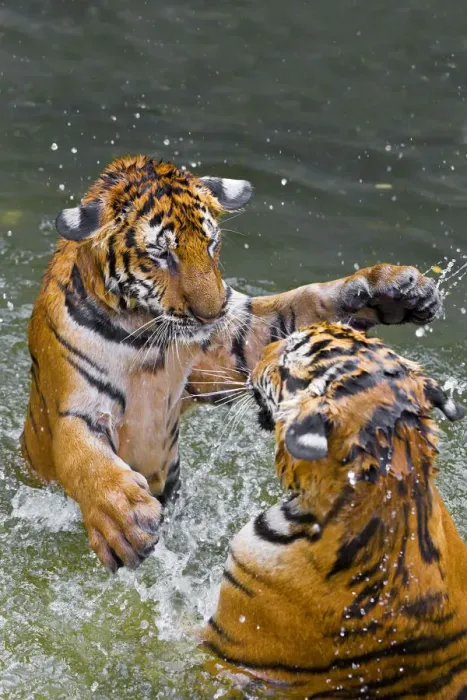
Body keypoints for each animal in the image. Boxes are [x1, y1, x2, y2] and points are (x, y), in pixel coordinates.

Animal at [22, 154, 443, 573]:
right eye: (162, 253)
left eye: (210, 243)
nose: (213, 313)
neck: (146, 334)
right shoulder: (73, 408)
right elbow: (85, 460)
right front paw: (124, 521)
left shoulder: (234, 345)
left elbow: (302, 304)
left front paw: (394, 288)